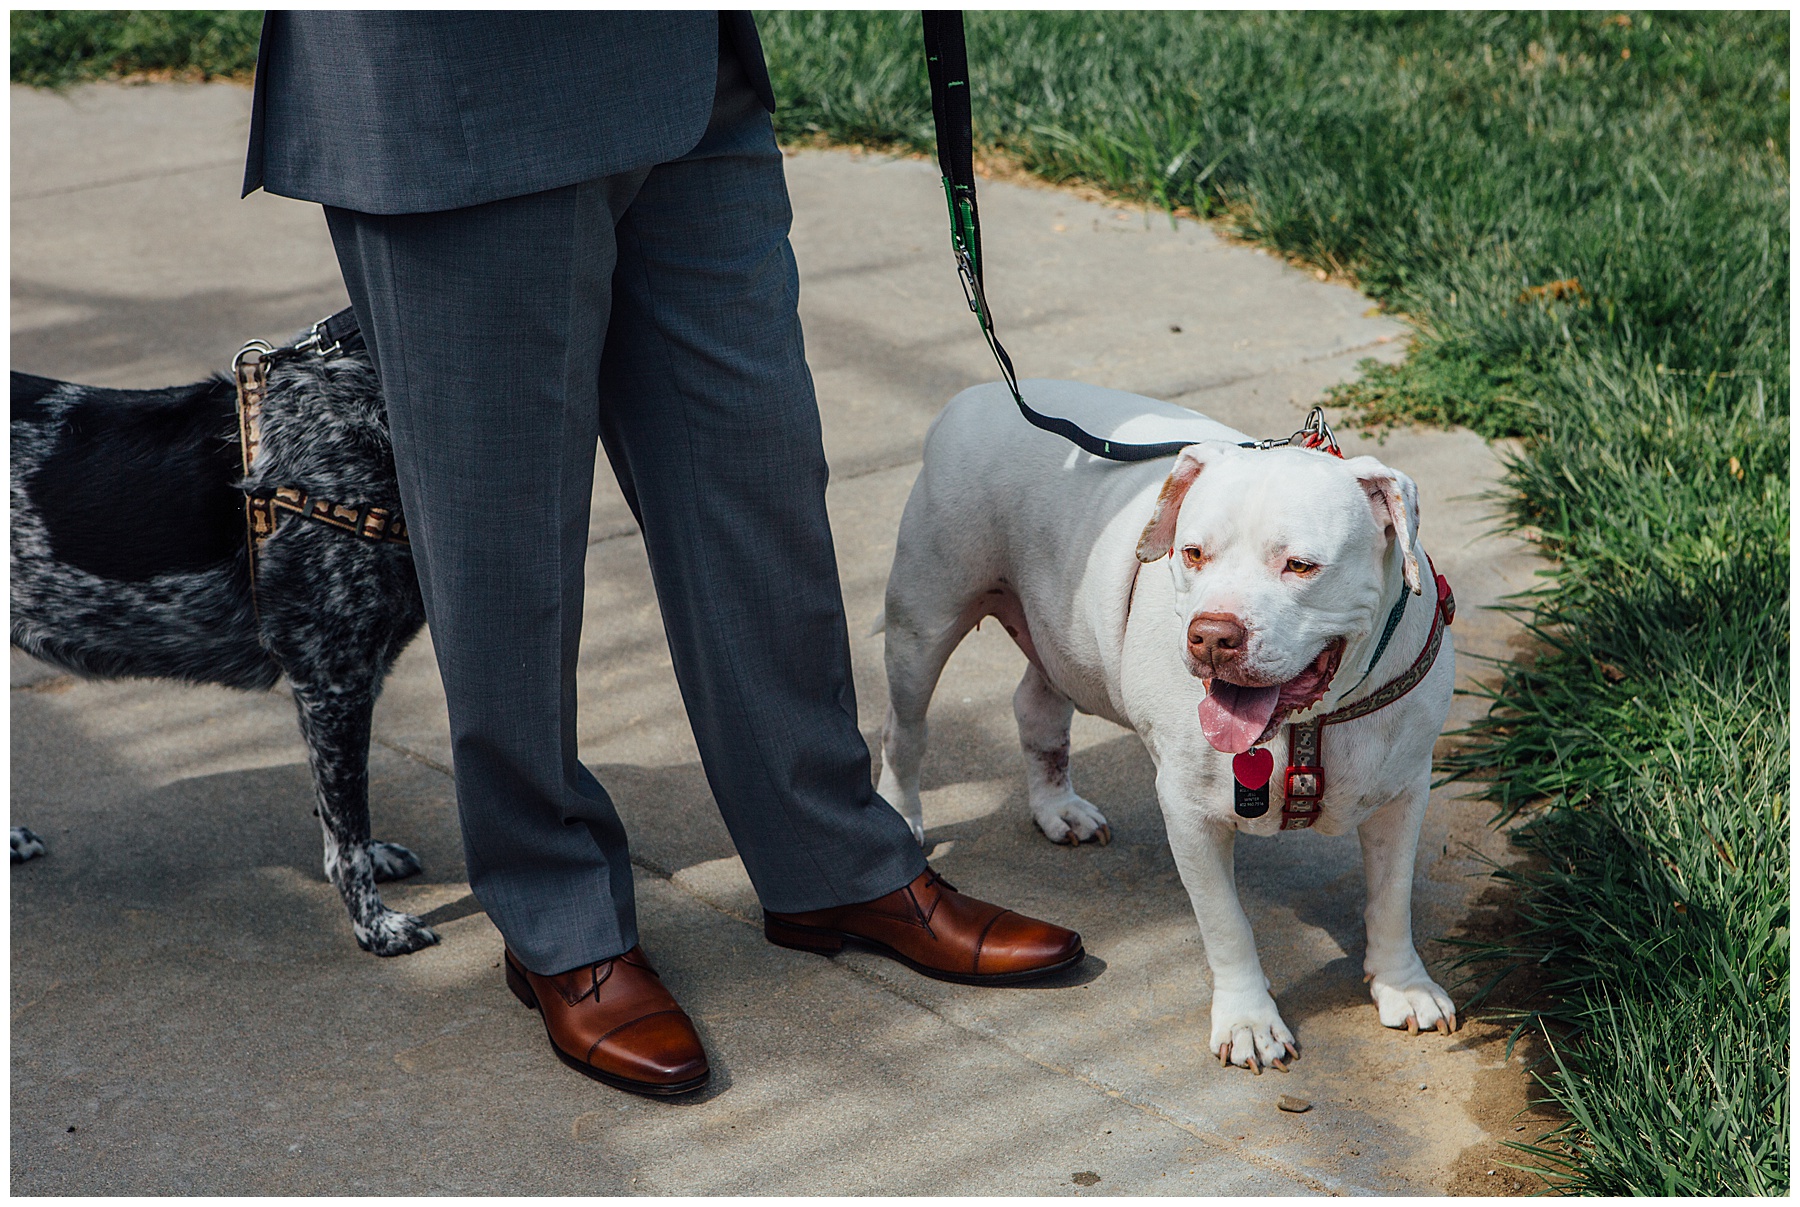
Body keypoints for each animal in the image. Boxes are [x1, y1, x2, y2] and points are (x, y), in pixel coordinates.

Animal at [878, 383, 1454, 1072]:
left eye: (1301, 566)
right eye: (1193, 552)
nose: (1212, 635)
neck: (1309, 721)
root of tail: (976, 393)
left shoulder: (1403, 792)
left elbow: (1392, 899)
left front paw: (1403, 987)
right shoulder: (1191, 810)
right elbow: (1227, 924)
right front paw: (1249, 1021)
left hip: (1061, 635)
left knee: (1036, 710)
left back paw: (1057, 807)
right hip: (923, 622)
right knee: (905, 729)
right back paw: (901, 817)